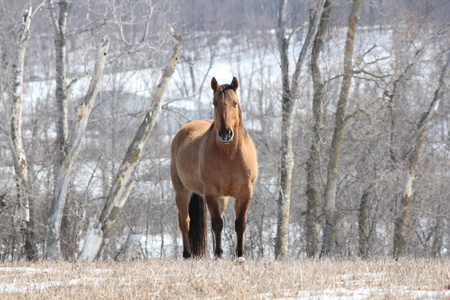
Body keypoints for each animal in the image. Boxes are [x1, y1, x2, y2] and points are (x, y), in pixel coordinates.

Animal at [171, 77, 258, 258]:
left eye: (234, 103)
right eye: (214, 103)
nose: (226, 134)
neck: (230, 155)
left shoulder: (245, 193)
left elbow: (240, 224)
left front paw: (240, 254)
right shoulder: (210, 193)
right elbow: (217, 223)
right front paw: (218, 253)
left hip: (222, 198)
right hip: (182, 191)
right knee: (184, 222)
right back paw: (187, 254)